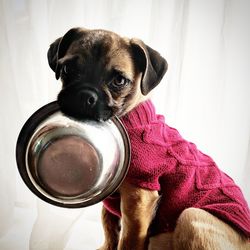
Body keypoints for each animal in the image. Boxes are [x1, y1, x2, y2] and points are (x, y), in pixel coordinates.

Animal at [47, 27, 250, 250]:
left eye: (119, 81)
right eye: (67, 69)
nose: (85, 95)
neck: (130, 117)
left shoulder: (138, 205)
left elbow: (127, 242)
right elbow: (109, 228)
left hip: (191, 217)